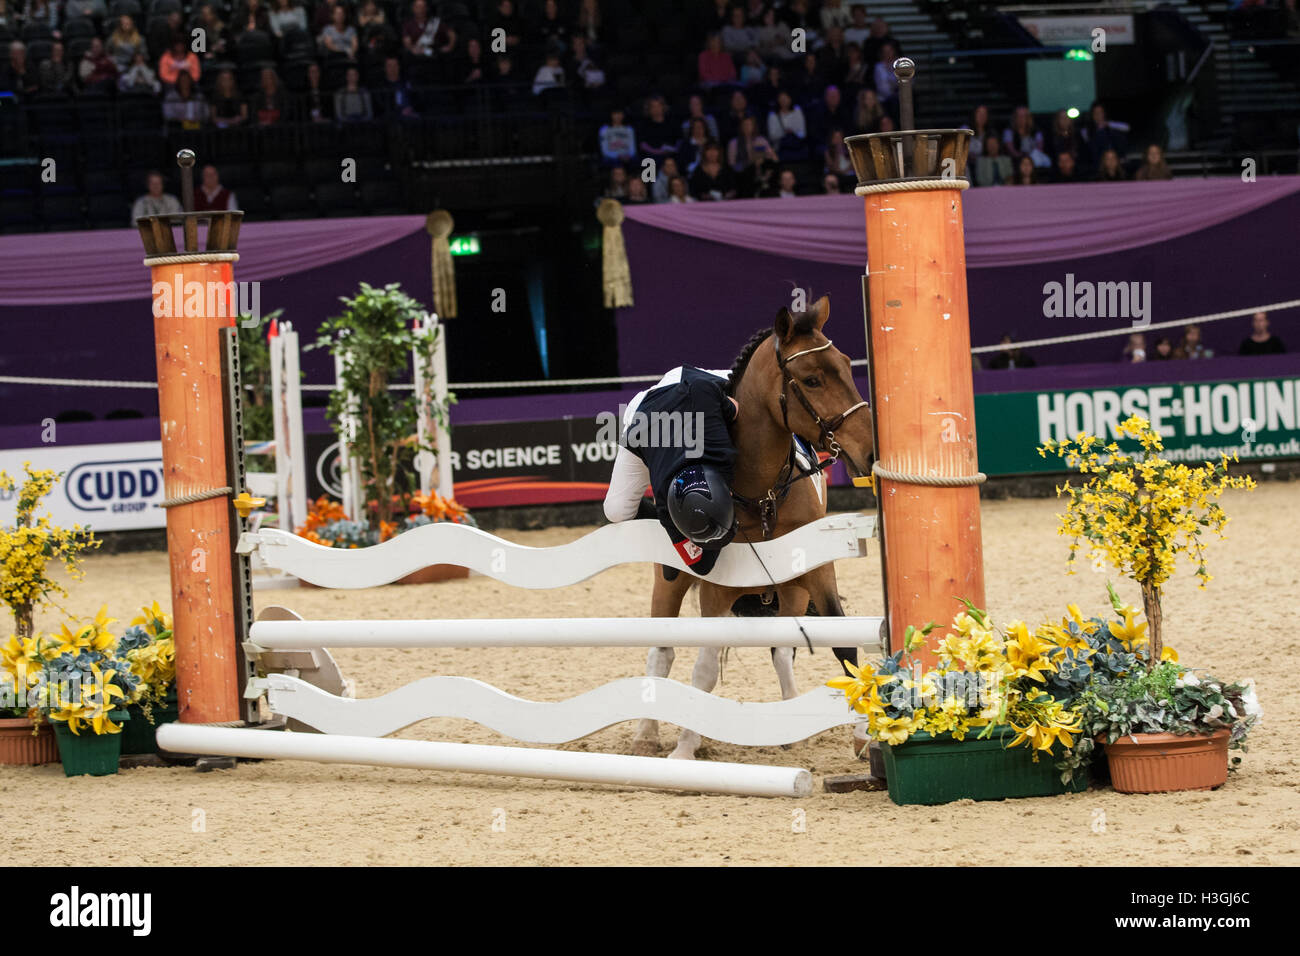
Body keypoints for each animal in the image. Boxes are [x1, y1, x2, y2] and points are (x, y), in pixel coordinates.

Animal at [630, 295, 876, 760]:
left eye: (846, 364)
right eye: (812, 379)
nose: (870, 451)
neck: (761, 496)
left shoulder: (816, 574)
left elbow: (843, 644)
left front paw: (864, 731)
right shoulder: (716, 591)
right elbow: (704, 669)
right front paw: (684, 748)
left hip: (791, 592)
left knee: (782, 648)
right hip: (669, 583)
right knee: (660, 650)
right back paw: (647, 732)